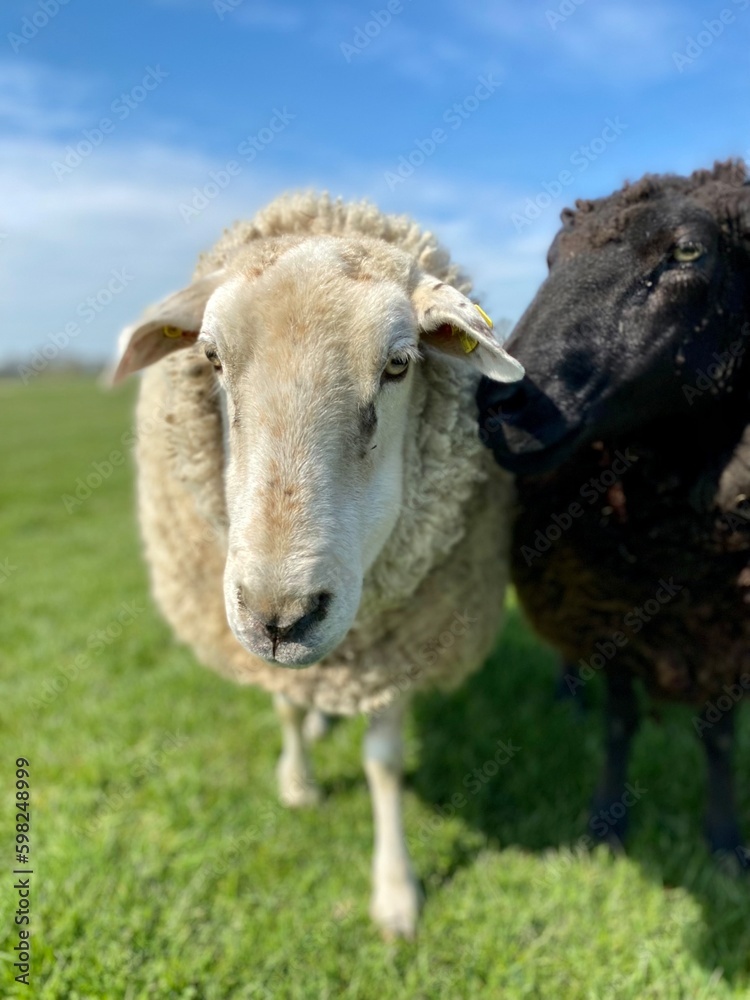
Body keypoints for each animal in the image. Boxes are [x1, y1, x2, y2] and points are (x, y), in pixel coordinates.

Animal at [113, 191, 524, 937]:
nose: (281, 618)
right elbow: (281, 707)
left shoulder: (401, 646)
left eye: (400, 363)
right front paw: (299, 783)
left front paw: (395, 892)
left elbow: (384, 764)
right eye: (211, 358)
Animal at [477, 160, 750, 868]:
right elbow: (620, 721)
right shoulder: (608, 608)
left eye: (689, 251)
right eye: (551, 259)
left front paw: (725, 843)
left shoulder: (728, 636)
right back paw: (566, 694)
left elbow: (719, 737)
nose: (496, 405)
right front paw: (605, 824)